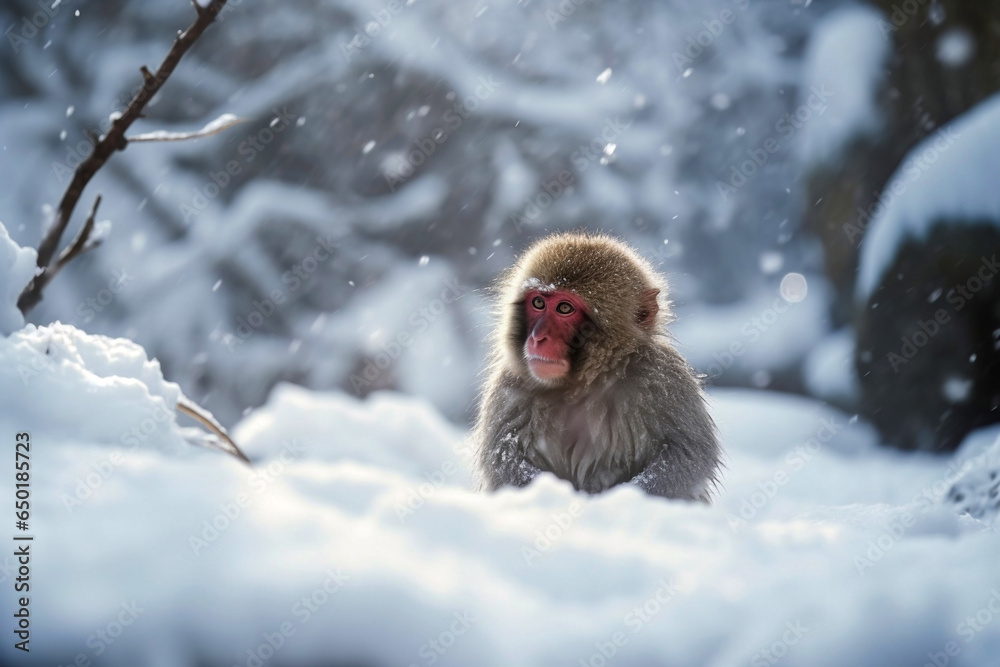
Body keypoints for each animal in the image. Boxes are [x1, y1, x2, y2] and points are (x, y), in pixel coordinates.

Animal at [472, 232, 721, 502]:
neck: (583, 382)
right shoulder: (509, 385)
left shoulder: (664, 377)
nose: (537, 338)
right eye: (538, 303)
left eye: (565, 308)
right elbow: (502, 458)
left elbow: (687, 455)